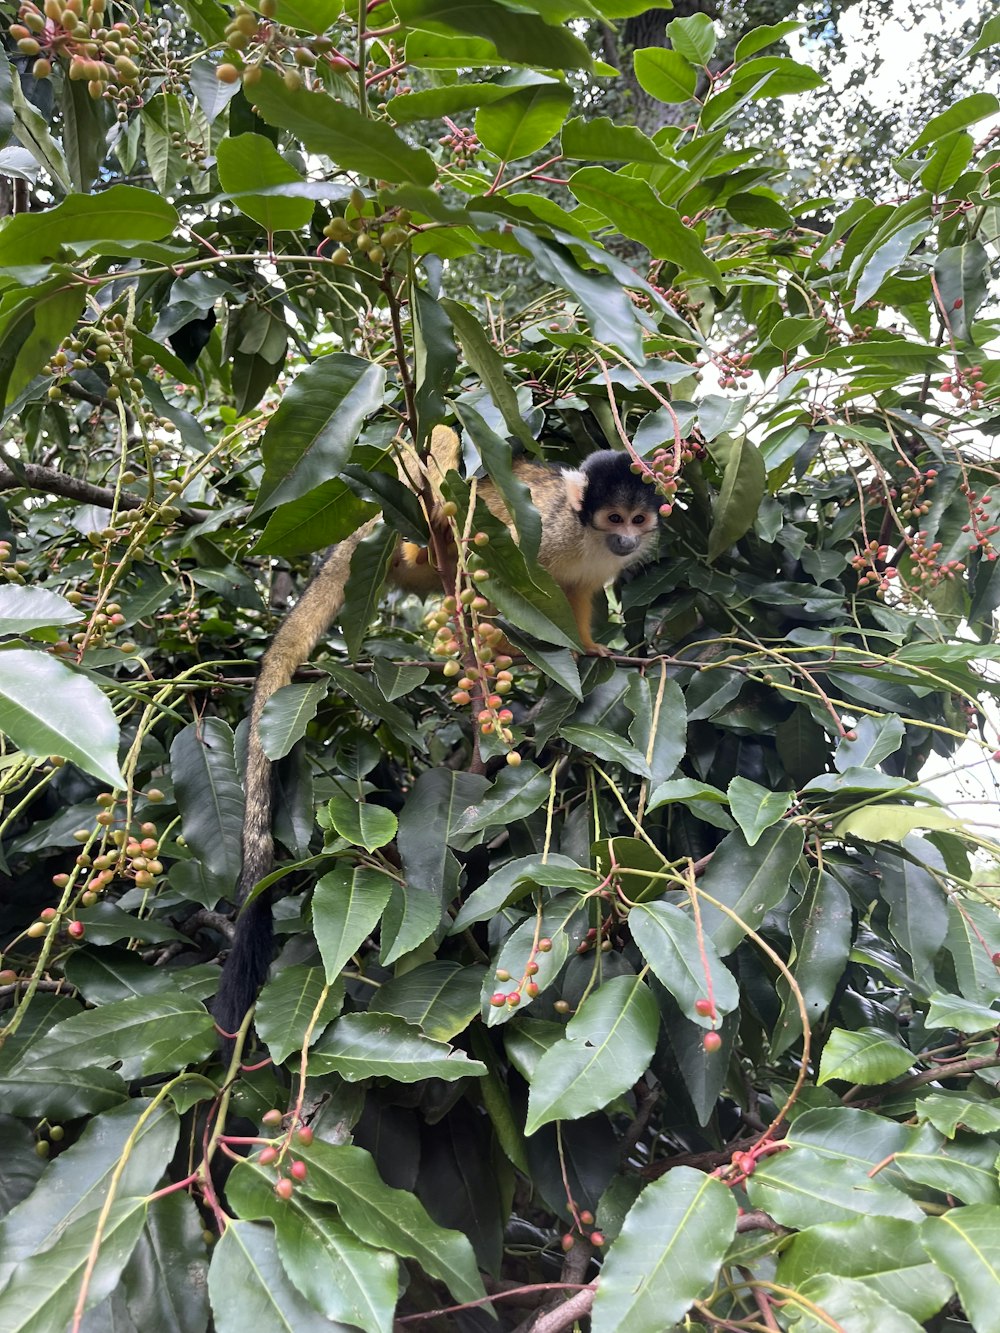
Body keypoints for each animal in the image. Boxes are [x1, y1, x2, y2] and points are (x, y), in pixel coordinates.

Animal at [216, 431, 661, 1045]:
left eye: (638, 520)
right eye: (613, 516)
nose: (626, 539)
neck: (588, 535)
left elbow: (572, 598)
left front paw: (585, 648)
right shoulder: (548, 532)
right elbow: (510, 582)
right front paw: (505, 642)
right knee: (445, 463)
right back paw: (432, 537)